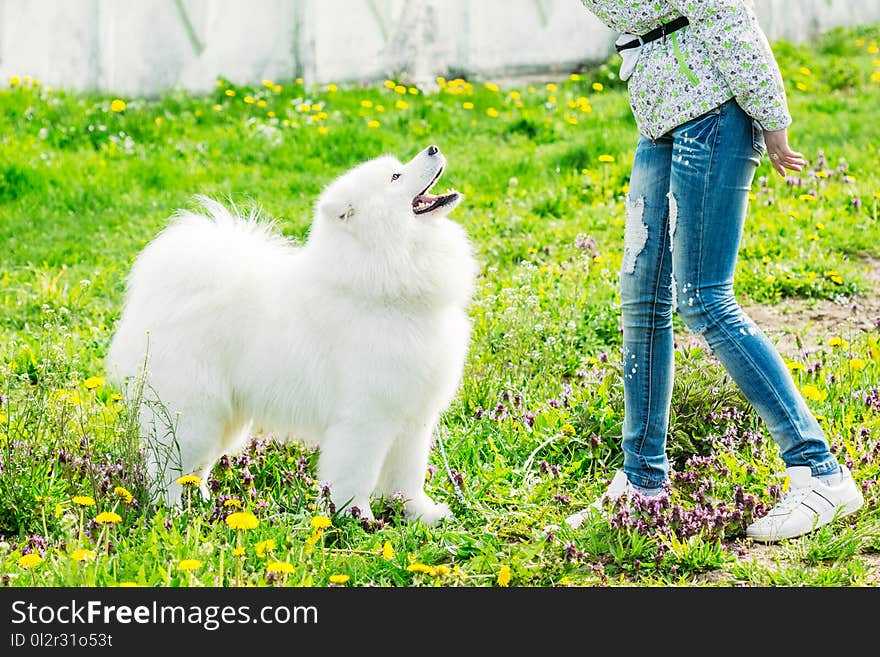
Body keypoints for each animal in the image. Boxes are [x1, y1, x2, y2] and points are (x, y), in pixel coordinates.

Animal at [106, 145, 478, 524]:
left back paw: (208, 504)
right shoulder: (364, 419)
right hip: (193, 414)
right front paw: (357, 519)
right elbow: (354, 477)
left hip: (223, 419)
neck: (383, 282)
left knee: (196, 468)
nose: (433, 148)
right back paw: (172, 512)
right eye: (395, 177)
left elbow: (408, 476)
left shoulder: (413, 419)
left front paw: (421, 514)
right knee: (164, 468)